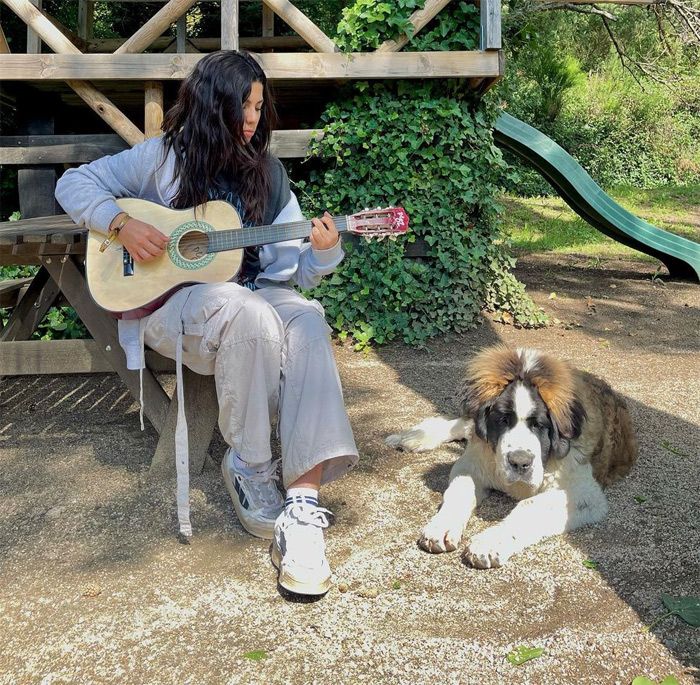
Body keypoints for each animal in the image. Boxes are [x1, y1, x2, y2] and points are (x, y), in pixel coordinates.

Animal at [386, 348, 636, 568]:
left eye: (539, 425)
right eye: (503, 420)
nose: (520, 462)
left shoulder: (584, 493)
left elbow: (529, 506)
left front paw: (489, 543)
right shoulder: (473, 463)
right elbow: (459, 490)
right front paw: (442, 526)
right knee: (465, 424)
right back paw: (414, 437)